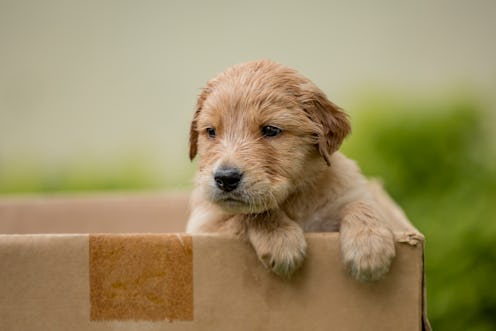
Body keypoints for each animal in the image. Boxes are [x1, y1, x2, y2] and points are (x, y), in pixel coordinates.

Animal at [186, 60, 396, 282]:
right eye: (211, 131)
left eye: (271, 130)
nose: (226, 178)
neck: (295, 199)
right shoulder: (205, 226)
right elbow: (252, 214)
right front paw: (281, 239)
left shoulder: (350, 192)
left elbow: (361, 204)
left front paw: (370, 246)